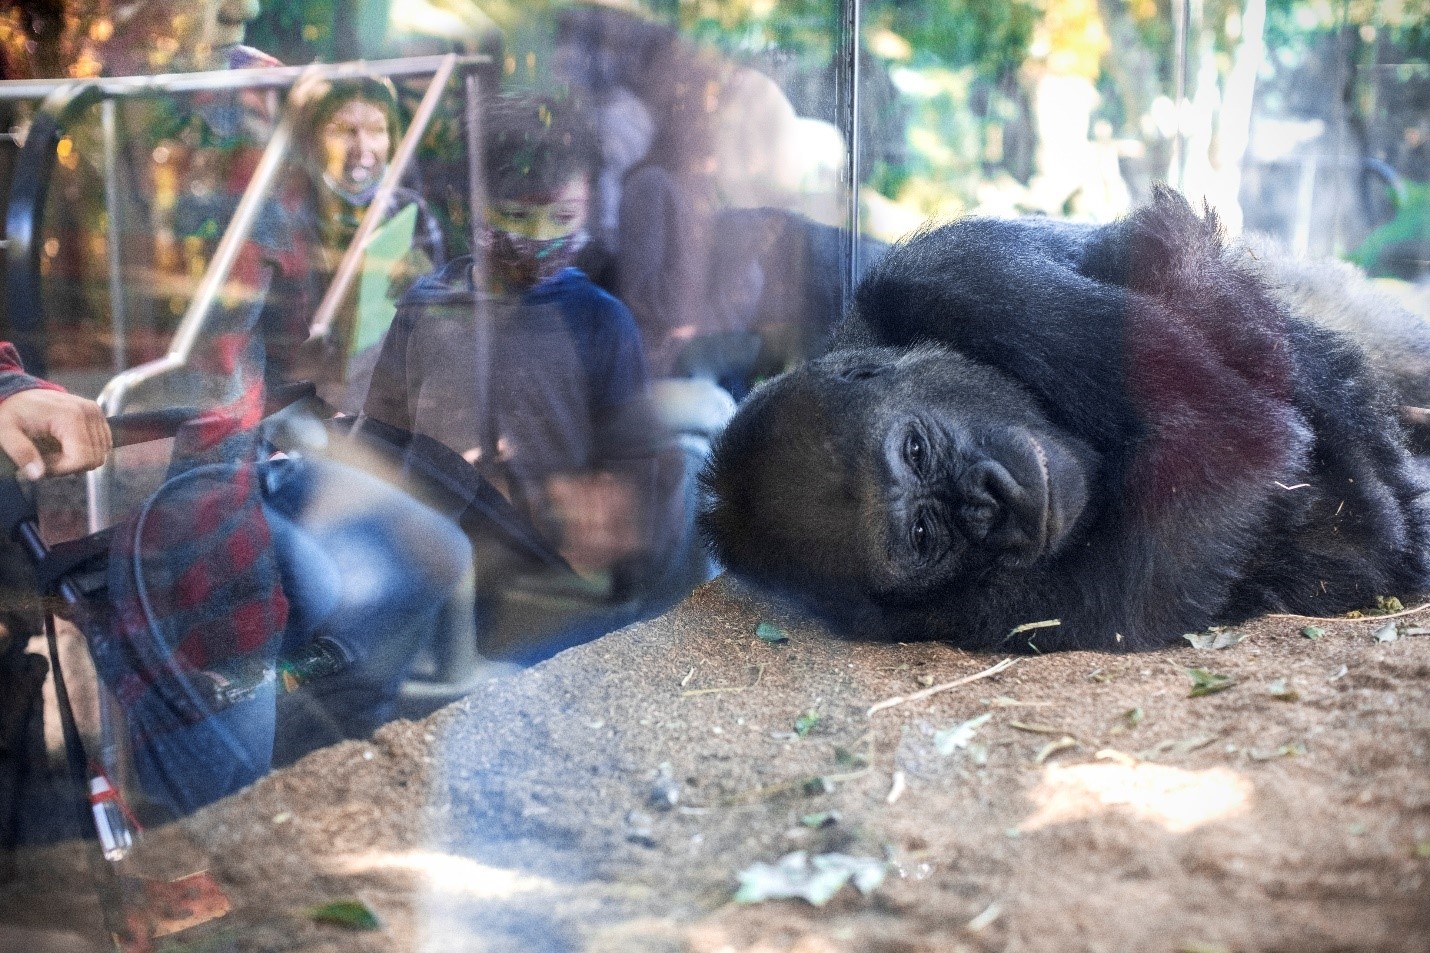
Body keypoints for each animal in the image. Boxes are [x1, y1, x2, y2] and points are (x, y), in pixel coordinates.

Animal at [699, 187, 1430, 652]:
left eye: (916, 449)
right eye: (923, 533)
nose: (992, 499)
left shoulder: (958, 269)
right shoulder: (957, 619)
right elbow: (1231, 459)